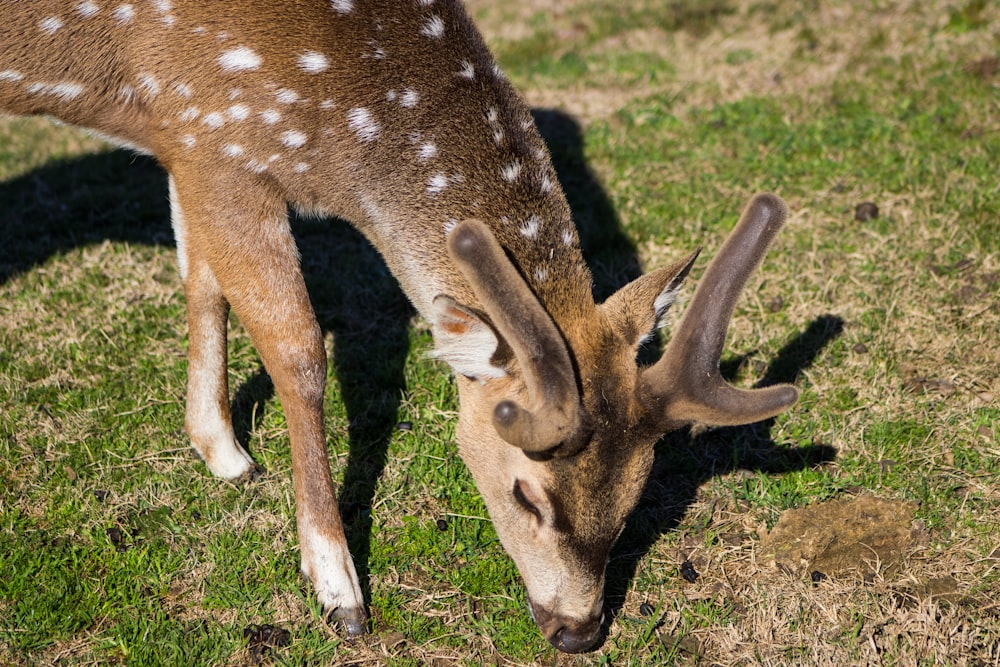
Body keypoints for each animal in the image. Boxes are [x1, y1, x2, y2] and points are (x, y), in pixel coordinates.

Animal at [0, 0, 796, 656]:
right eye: (526, 495)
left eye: (636, 493)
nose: (577, 630)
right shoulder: (217, 138)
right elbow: (298, 350)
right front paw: (338, 588)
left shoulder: (182, 142)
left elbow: (201, 281)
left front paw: (223, 450)